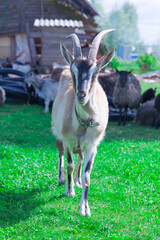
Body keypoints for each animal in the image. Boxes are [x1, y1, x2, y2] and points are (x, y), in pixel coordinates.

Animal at [51, 29, 114, 216]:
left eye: (96, 72)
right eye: (74, 72)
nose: (81, 94)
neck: (84, 123)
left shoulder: (93, 145)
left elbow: (87, 175)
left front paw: (84, 208)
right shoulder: (68, 141)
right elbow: (70, 164)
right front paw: (69, 191)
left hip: (82, 146)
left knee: (80, 157)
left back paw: (77, 181)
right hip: (57, 134)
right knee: (60, 155)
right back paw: (62, 180)